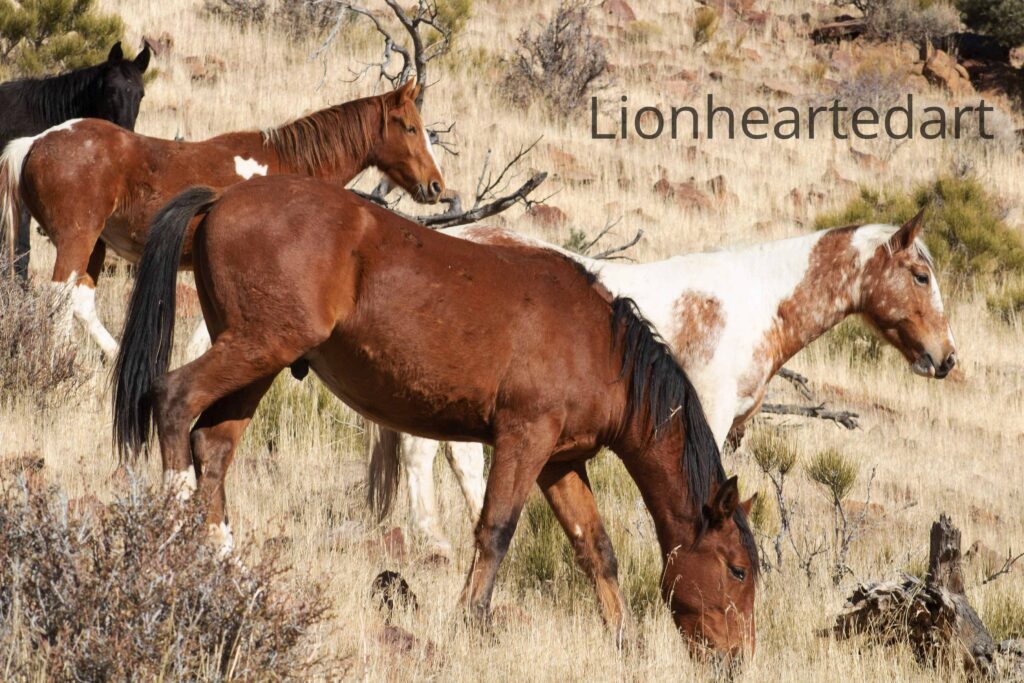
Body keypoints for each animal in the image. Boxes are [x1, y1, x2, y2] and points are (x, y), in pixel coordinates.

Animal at [0, 79, 442, 358]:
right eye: (410, 127)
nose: (436, 185)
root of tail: (34, 143)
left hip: (95, 245)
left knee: (80, 301)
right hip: (77, 239)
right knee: (60, 297)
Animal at [111, 177, 759, 656]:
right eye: (736, 571)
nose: (735, 658)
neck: (598, 344)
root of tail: (223, 198)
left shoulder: (560, 461)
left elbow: (595, 548)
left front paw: (623, 640)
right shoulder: (524, 438)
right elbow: (495, 531)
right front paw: (472, 620)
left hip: (257, 362)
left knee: (213, 450)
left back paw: (225, 563)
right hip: (256, 347)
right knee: (174, 399)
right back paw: (172, 537)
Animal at [382, 211, 957, 556]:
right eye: (921, 276)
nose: (946, 358)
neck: (756, 303)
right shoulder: (709, 412)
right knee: (423, 452)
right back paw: (434, 544)